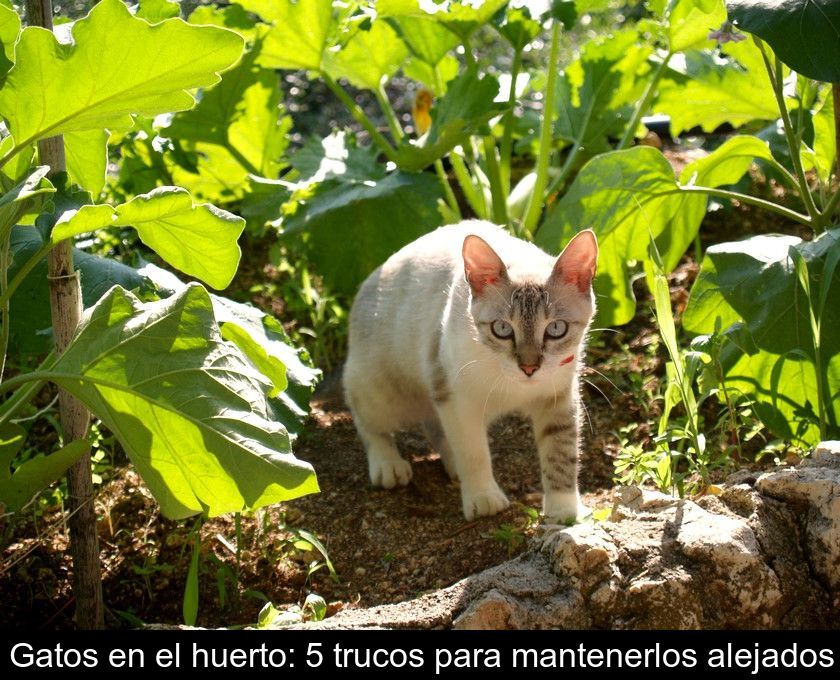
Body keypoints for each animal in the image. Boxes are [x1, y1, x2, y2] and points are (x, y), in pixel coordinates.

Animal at [342, 220, 596, 524]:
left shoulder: (558, 397)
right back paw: (387, 464)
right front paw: (483, 498)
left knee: (434, 425)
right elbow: (473, 453)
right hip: (382, 387)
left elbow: (561, 454)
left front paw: (564, 511)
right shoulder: (456, 397)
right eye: (502, 329)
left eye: (556, 329)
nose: (529, 367)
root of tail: (366, 284)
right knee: (367, 419)